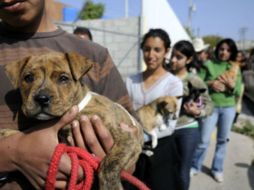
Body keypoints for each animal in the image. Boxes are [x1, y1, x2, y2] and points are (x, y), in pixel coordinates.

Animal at [2, 51, 144, 190]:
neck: (78, 108)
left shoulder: (126, 137)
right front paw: (5, 133)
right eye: (28, 78)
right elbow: (25, 132)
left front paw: (110, 186)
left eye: (63, 78)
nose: (41, 98)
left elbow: (109, 164)